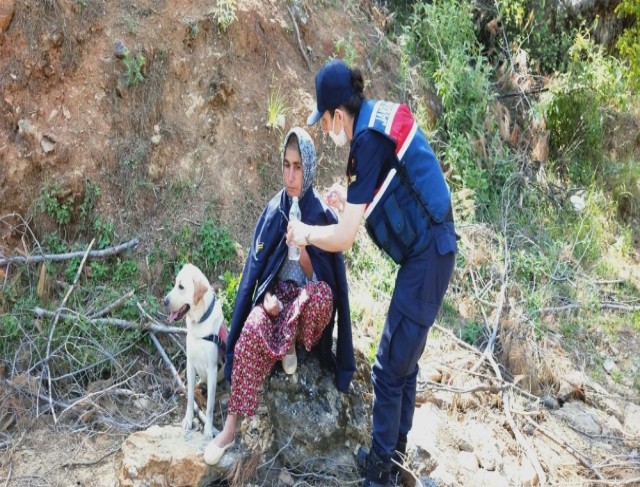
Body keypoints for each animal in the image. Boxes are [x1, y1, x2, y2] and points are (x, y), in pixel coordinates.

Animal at [164, 264, 226, 440]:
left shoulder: (212, 370)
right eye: (174, 283)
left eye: (181, 287)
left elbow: (210, 406)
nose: (164, 301)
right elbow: (191, 397)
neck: (200, 321)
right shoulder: (190, 365)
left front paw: (208, 429)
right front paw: (188, 419)